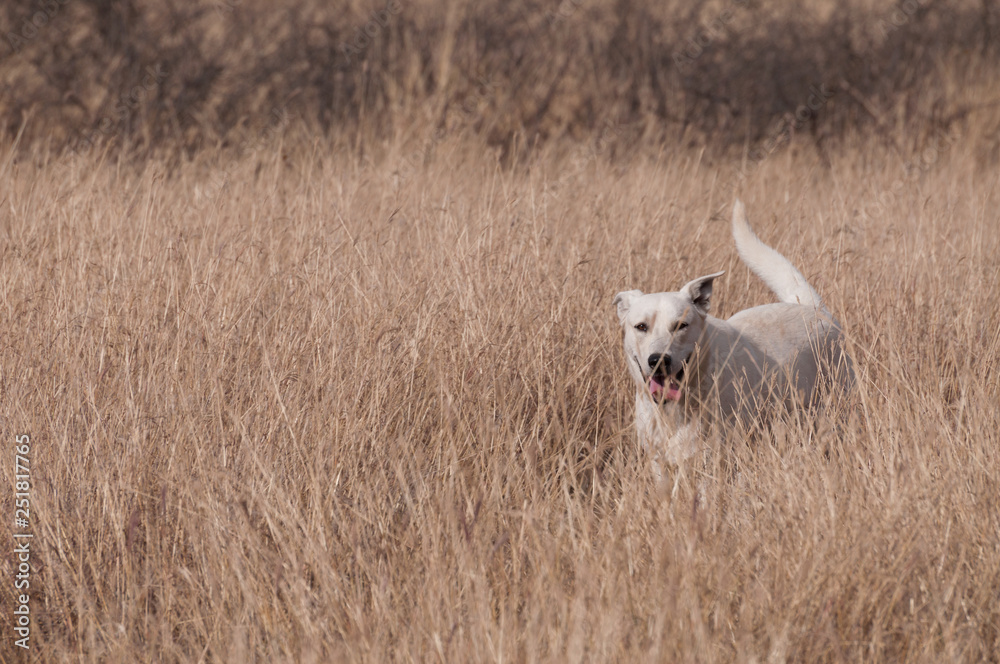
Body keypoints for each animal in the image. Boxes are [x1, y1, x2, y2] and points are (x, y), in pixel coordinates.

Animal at [612, 197, 856, 472]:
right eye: (641, 326)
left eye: (681, 325)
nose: (658, 360)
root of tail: (813, 309)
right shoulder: (659, 463)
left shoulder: (712, 461)